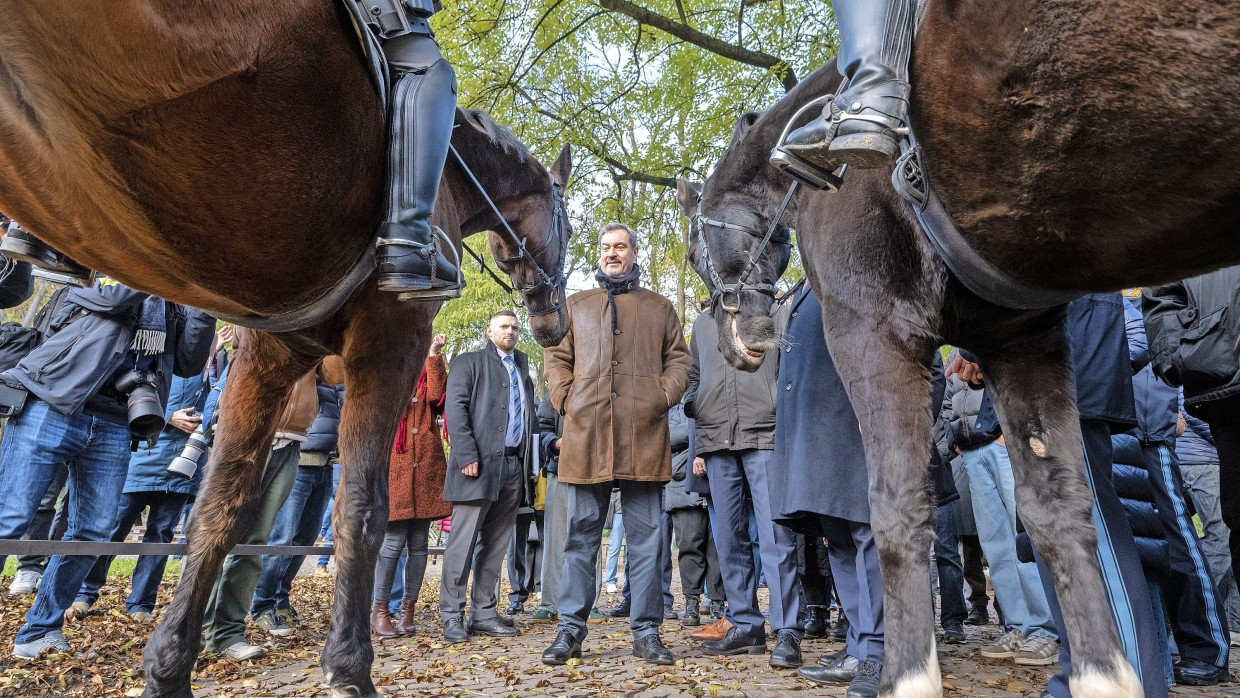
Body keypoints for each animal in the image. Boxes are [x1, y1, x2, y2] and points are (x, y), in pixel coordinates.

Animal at [0, 2, 570, 694]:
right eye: (568, 228)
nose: (554, 324)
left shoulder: (267, 352)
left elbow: (221, 505)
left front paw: (168, 666)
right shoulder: (390, 341)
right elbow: (361, 509)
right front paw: (348, 666)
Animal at [684, 2, 1240, 694]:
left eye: (693, 251)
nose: (750, 343)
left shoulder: (872, 329)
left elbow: (897, 507)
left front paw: (904, 676)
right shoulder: (1021, 337)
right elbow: (1058, 509)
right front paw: (1103, 675)